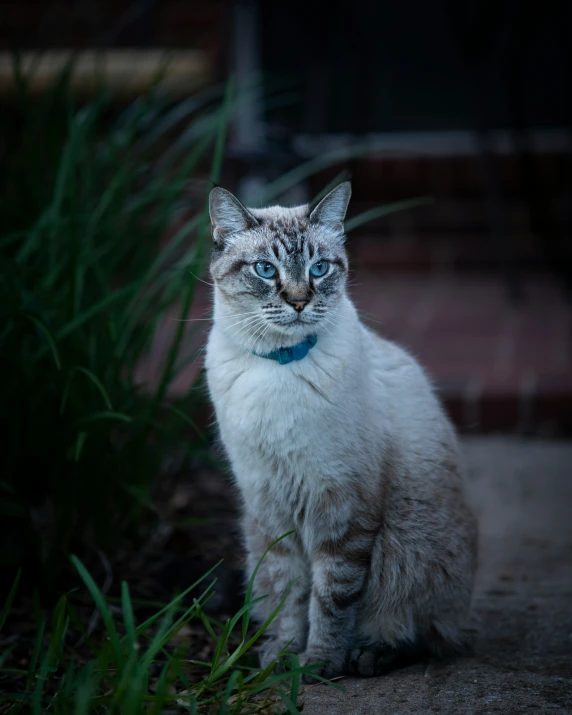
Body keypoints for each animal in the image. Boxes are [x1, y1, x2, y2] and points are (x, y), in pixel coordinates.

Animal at [206, 180, 478, 684]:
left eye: (319, 268)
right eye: (265, 269)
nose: (298, 301)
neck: (281, 365)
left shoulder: (341, 507)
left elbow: (331, 599)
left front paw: (318, 665)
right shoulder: (271, 506)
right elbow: (290, 595)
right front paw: (284, 658)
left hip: (406, 548)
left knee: (423, 632)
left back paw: (369, 655)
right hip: (254, 537)